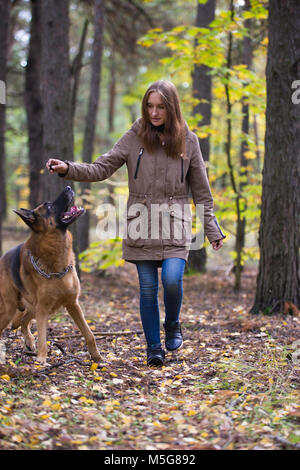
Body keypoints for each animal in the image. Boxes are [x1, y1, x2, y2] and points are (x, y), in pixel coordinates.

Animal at [0, 186, 101, 364]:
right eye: (48, 206)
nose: (68, 187)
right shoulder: (43, 310)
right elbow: (43, 338)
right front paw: (41, 361)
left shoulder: (73, 304)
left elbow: (89, 334)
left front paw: (96, 356)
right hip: (9, 309)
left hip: (30, 307)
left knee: (23, 321)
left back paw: (29, 341)